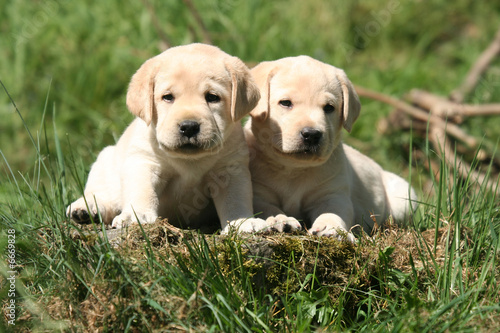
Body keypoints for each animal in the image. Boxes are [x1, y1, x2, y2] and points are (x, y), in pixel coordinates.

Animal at [67, 42, 272, 232]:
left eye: (212, 97)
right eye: (168, 97)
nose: (189, 127)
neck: (189, 161)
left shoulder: (230, 169)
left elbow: (235, 200)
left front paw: (242, 222)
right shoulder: (144, 162)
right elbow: (142, 190)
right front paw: (136, 216)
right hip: (105, 161)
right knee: (101, 193)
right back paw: (85, 208)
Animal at [244, 55, 416, 240]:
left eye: (329, 108)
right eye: (285, 103)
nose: (312, 134)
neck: (294, 169)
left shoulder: (332, 194)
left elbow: (333, 213)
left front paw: (332, 229)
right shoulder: (259, 193)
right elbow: (266, 208)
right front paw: (280, 220)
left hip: (404, 197)